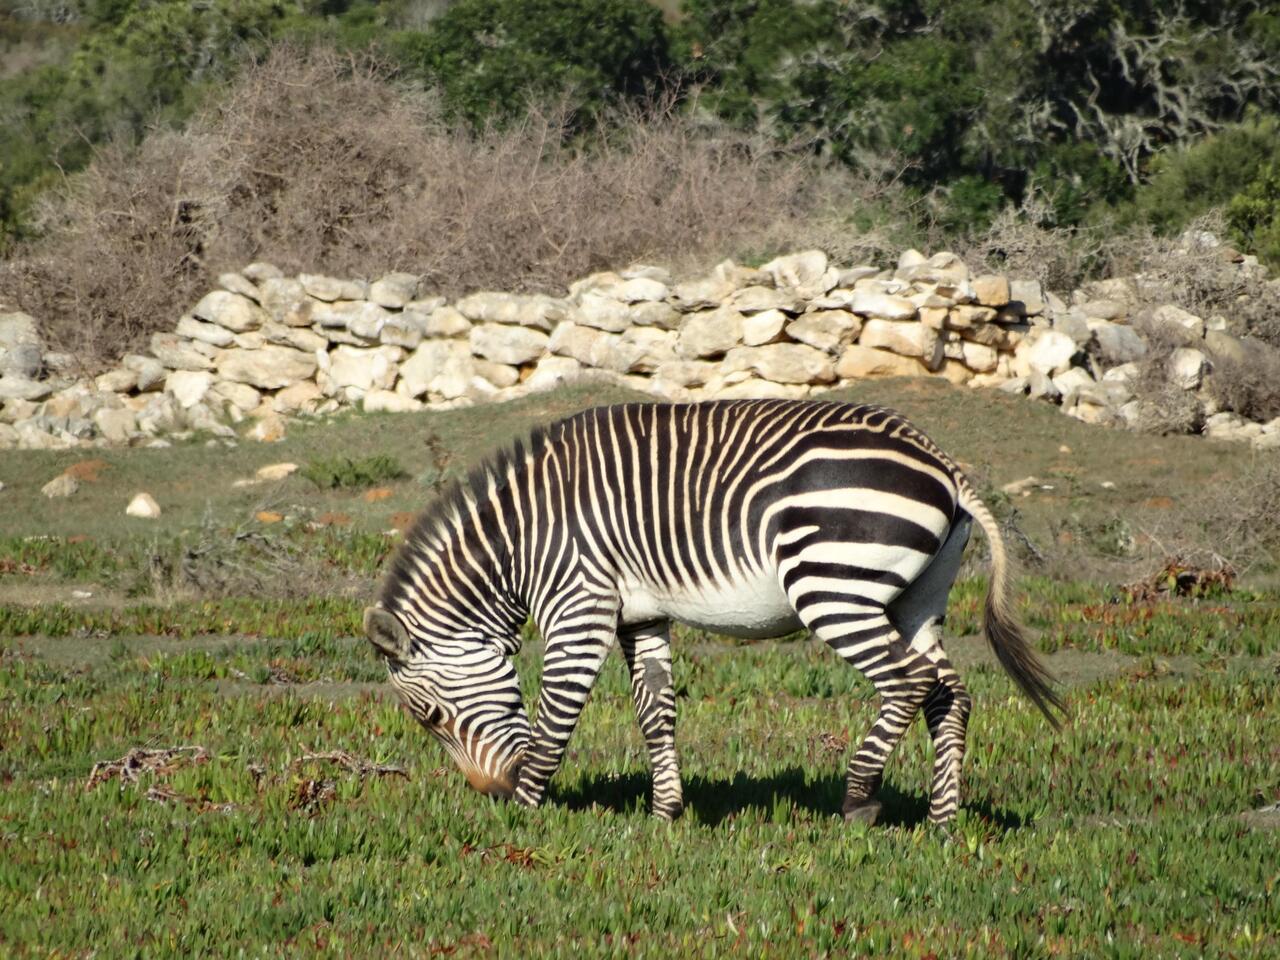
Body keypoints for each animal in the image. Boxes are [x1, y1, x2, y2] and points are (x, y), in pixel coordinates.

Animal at [364, 399, 1063, 825]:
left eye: (429, 716)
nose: (492, 795)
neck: (520, 543)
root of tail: (940, 462)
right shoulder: (638, 614)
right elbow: (655, 711)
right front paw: (664, 814)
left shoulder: (580, 605)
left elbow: (556, 713)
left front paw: (530, 809)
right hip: (917, 596)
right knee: (949, 693)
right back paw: (943, 821)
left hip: (831, 583)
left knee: (907, 682)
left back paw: (860, 801)